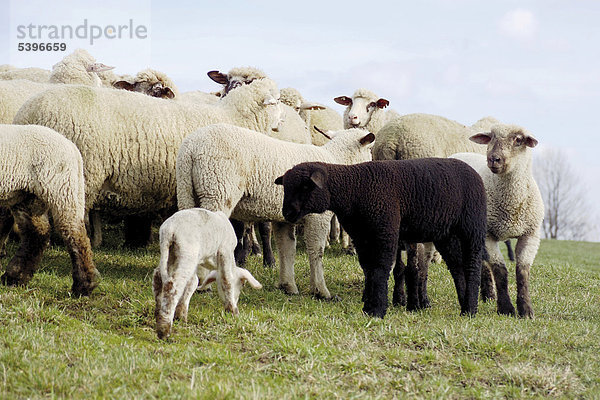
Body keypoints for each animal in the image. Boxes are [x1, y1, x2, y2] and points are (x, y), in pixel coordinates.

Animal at [0, 123, 99, 296]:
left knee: (75, 234)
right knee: (37, 234)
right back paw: (14, 278)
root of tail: (71, 147)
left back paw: (84, 286)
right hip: (28, 197)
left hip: (61, 189)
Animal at [152, 208, 260, 340]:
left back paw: (159, 313)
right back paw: (164, 329)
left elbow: (193, 283)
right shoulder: (225, 251)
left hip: (171, 254)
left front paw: (181, 315)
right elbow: (227, 279)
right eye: (242, 285)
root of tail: (170, 229)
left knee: (158, 277)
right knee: (173, 285)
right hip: (187, 252)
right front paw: (232, 311)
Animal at [177, 123, 376, 298]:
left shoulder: (284, 218)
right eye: (370, 150)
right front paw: (321, 291)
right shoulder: (317, 216)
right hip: (217, 189)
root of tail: (191, 147)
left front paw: (288, 286)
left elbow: (287, 249)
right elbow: (316, 250)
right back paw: (205, 285)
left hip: (187, 191)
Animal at [276, 158, 488, 318]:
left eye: (305, 187)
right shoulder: (361, 236)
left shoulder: (385, 230)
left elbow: (380, 268)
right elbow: (368, 269)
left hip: (472, 225)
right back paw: (464, 308)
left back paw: (471, 309)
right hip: (446, 235)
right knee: (457, 268)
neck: (354, 189)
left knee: (472, 265)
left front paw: (377, 310)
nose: (287, 213)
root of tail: (473, 171)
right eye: (285, 187)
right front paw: (368, 307)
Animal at [452, 125, 548, 318]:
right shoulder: (488, 234)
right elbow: (500, 269)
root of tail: (457, 154)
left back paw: (487, 295)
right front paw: (506, 308)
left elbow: (522, 271)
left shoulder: (531, 235)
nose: (494, 159)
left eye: (518, 140)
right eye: (491, 137)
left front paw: (526, 310)